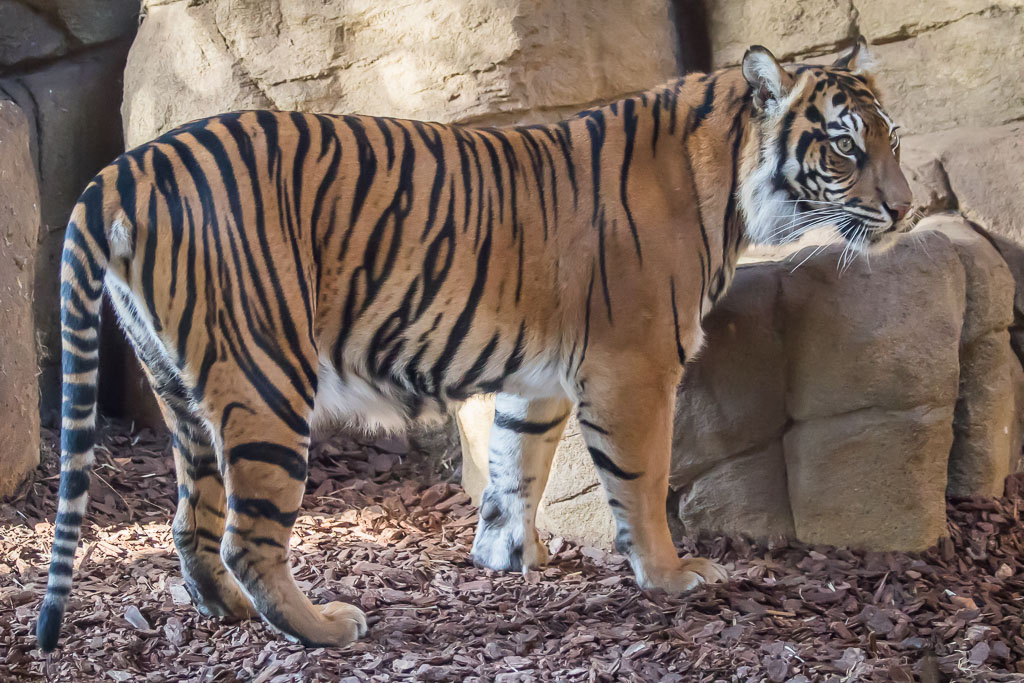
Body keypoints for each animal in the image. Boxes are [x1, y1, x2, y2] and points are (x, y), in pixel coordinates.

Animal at [38, 38, 912, 650]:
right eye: (843, 146)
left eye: (892, 139)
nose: (904, 210)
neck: (728, 177)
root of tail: (124, 167)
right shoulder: (633, 367)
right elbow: (641, 479)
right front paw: (669, 575)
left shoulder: (542, 379)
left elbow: (515, 463)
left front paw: (505, 557)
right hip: (267, 376)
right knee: (248, 534)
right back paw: (323, 627)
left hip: (180, 386)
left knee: (190, 519)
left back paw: (227, 612)